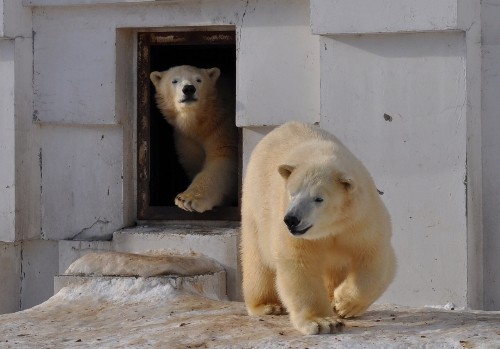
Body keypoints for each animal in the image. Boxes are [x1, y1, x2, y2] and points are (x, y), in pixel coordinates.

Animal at [149, 65, 237, 212]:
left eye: (198, 80)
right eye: (174, 81)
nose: (189, 89)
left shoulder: (223, 124)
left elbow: (221, 160)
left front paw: (186, 200)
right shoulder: (186, 138)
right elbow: (195, 161)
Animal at [240, 121, 396, 334]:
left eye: (319, 198)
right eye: (292, 192)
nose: (292, 219)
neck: (331, 226)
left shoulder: (361, 220)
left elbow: (374, 258)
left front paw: (343, 305)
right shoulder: (296, 233)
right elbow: (299, 263)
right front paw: (323, 321)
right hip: (255, 205)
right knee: (258, 259)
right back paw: (267, 305)